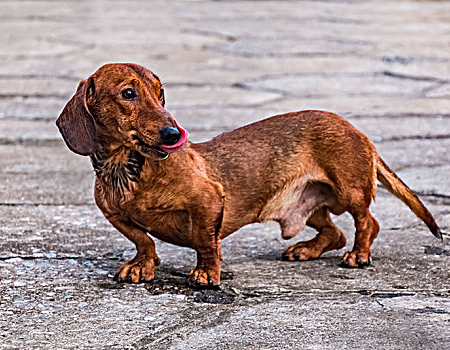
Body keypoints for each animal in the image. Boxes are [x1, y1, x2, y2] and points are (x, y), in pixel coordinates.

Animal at [57, 62, 442, 288]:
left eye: (160, 93)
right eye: (128, 93)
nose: (173, 134)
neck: (130, 170)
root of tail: (357, 130)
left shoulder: (209, 201)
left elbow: (205, 242)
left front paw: (207, 273)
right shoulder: (113, 214)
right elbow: (142, 239)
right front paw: (142, 264)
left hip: (350, 190)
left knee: (366, 223)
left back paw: (359, 254)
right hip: (311, 207)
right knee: (335, 232)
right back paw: (306, 250)